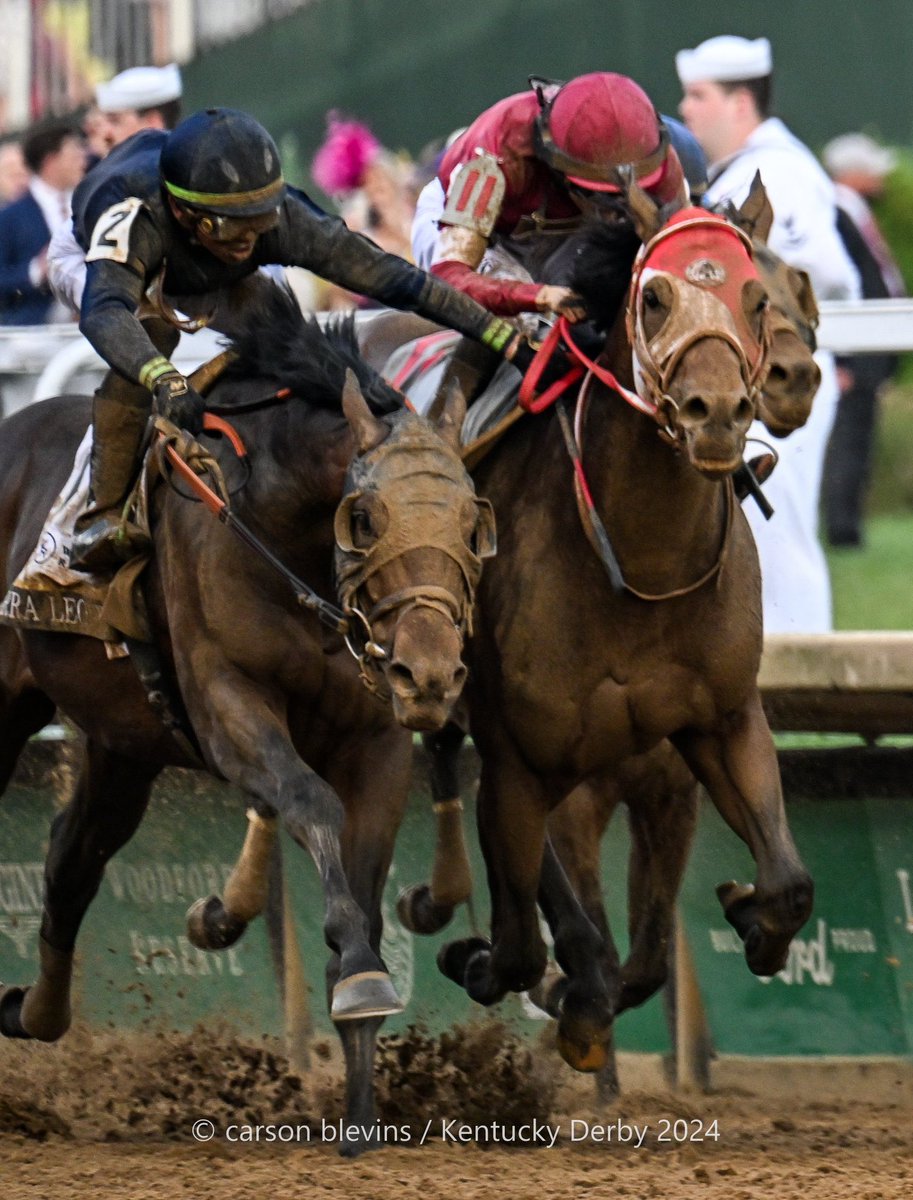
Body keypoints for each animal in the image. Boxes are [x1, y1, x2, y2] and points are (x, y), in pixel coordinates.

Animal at [0, 288, 491, 1152]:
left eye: (472, 524)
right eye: (364, 518)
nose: (431, 674)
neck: (281, 528)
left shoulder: (376, 739)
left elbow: (364, 885)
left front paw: (360, 1109)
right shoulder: (230, 705)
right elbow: (310, 802)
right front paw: (359, 976)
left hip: (123, 742)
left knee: (72, 855)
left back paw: (37, 1010)